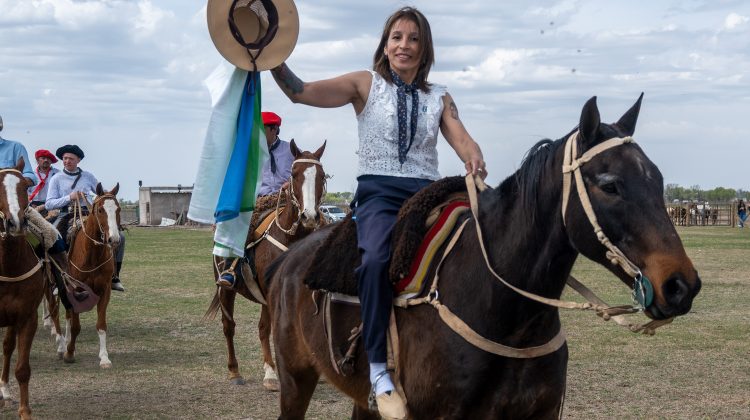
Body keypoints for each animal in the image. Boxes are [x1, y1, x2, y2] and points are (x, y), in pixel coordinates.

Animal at [206, 139, 326, 388]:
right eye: (294, 174)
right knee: (229, 326)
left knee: (262, 328)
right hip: (225, 289)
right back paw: (236, 372)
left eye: (322, 176)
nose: (309, 217)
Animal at [264, 96, 704, 420]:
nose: (681, 285)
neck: (504, 311)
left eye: (659, 179)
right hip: (296, 381)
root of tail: (292, 259)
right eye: (610, 185)